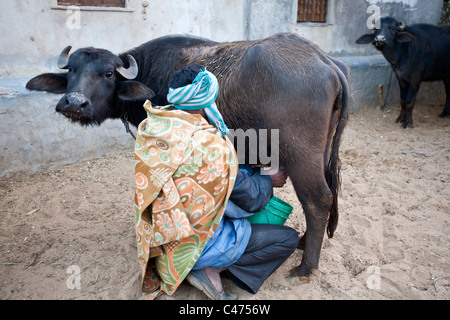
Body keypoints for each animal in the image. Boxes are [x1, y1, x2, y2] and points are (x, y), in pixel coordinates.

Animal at [26, 31, 352, 278]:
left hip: (302, 158)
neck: (151, 74)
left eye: (107, 73)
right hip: (324, 153)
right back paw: (302, 243)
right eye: (71, 70)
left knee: (317, 200)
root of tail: (325, 60)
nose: (74, 103)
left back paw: (306, 267)